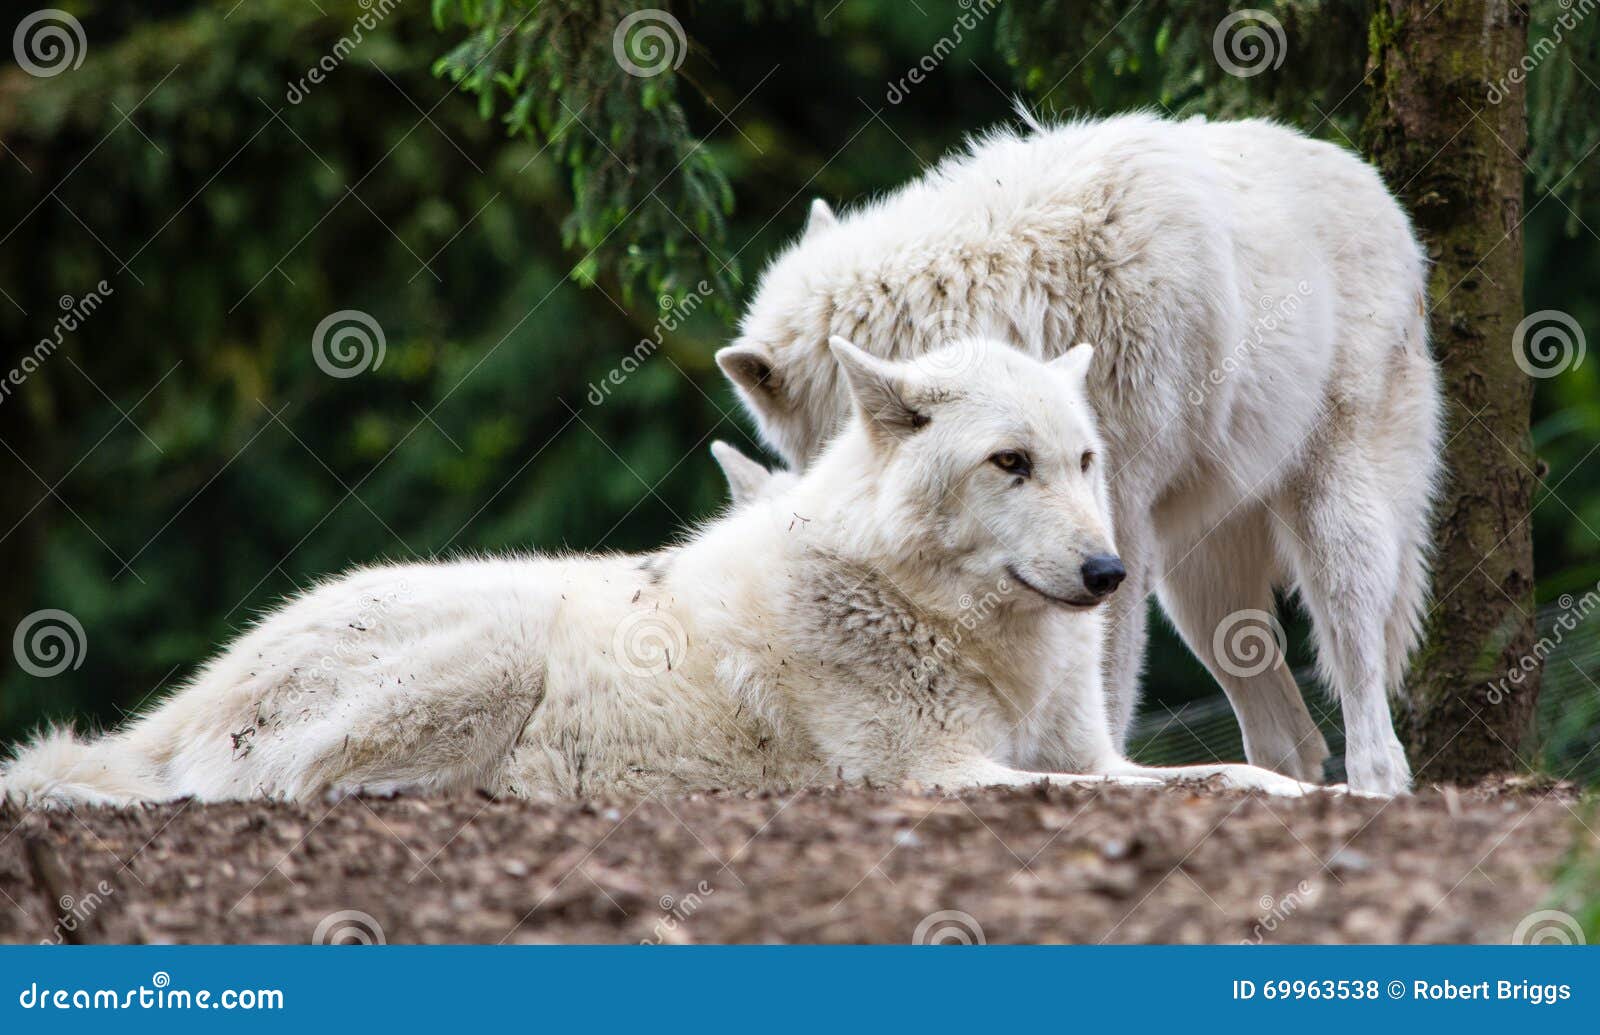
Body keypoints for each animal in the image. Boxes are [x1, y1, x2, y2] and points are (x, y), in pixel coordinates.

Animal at [3, 340, 1324, 809]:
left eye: (1082, 460)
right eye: (1009, 464)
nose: (1107, 572)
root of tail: (199, 689)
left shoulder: (1091, 754)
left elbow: (1230, 778)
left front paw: (1327, 795)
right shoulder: (938, 775)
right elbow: (1131, 795)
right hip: (491, 654)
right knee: (262, 790)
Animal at [720, 113, 1446, 796]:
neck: (1006, 302)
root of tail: (1379, 190)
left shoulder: (1115, 524)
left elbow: (1103, 682)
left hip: (1333, 527)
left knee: (1368, 708)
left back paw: (1374, 786)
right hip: (1199, 587)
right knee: (1288, 739)